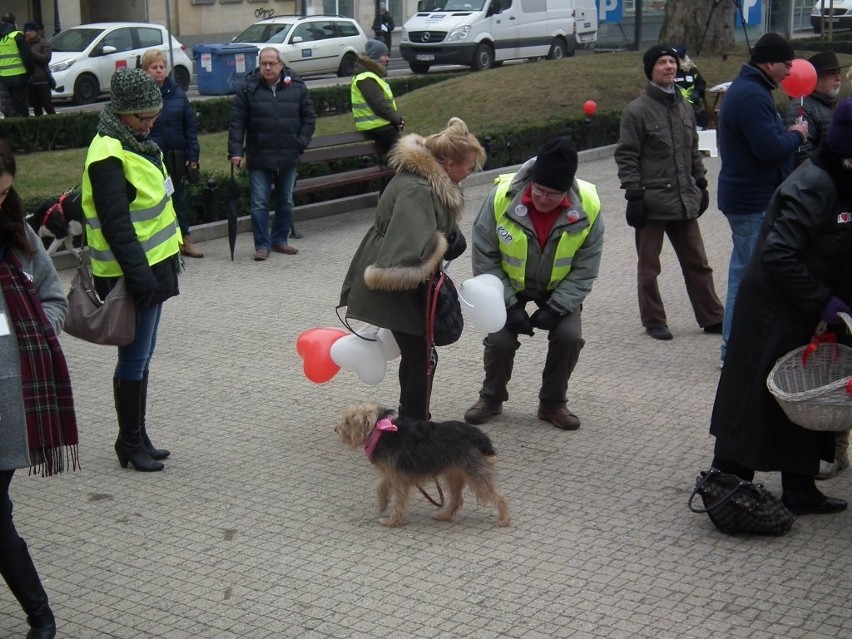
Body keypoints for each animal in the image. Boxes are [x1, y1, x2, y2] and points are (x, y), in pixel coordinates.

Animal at [336, 408, 510, 528]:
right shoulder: (395, 475)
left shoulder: (399, 480)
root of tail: (481, 438)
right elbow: (381, 486)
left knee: (500, 497)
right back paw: (444, 515)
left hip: (475, 476)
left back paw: (504, 519)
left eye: (347, 422)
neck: (380, 431)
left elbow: (399, 503)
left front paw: (392, 521)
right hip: (454, 475)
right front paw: (383, 502)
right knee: (457, 500)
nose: (336, 429)